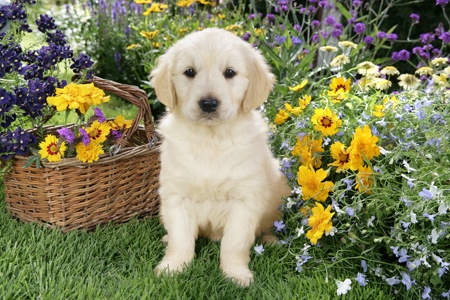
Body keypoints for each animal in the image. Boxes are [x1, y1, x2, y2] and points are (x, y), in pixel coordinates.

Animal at [150, 28, 292, 288]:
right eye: (189, 72)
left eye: (230, 72)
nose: (208, 104)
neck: (211, 139)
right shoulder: (176, 196)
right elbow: (181, 239)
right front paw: (172, 268)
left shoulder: (245, 200)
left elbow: (234, 243)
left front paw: (235, 275)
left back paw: (271, 241)